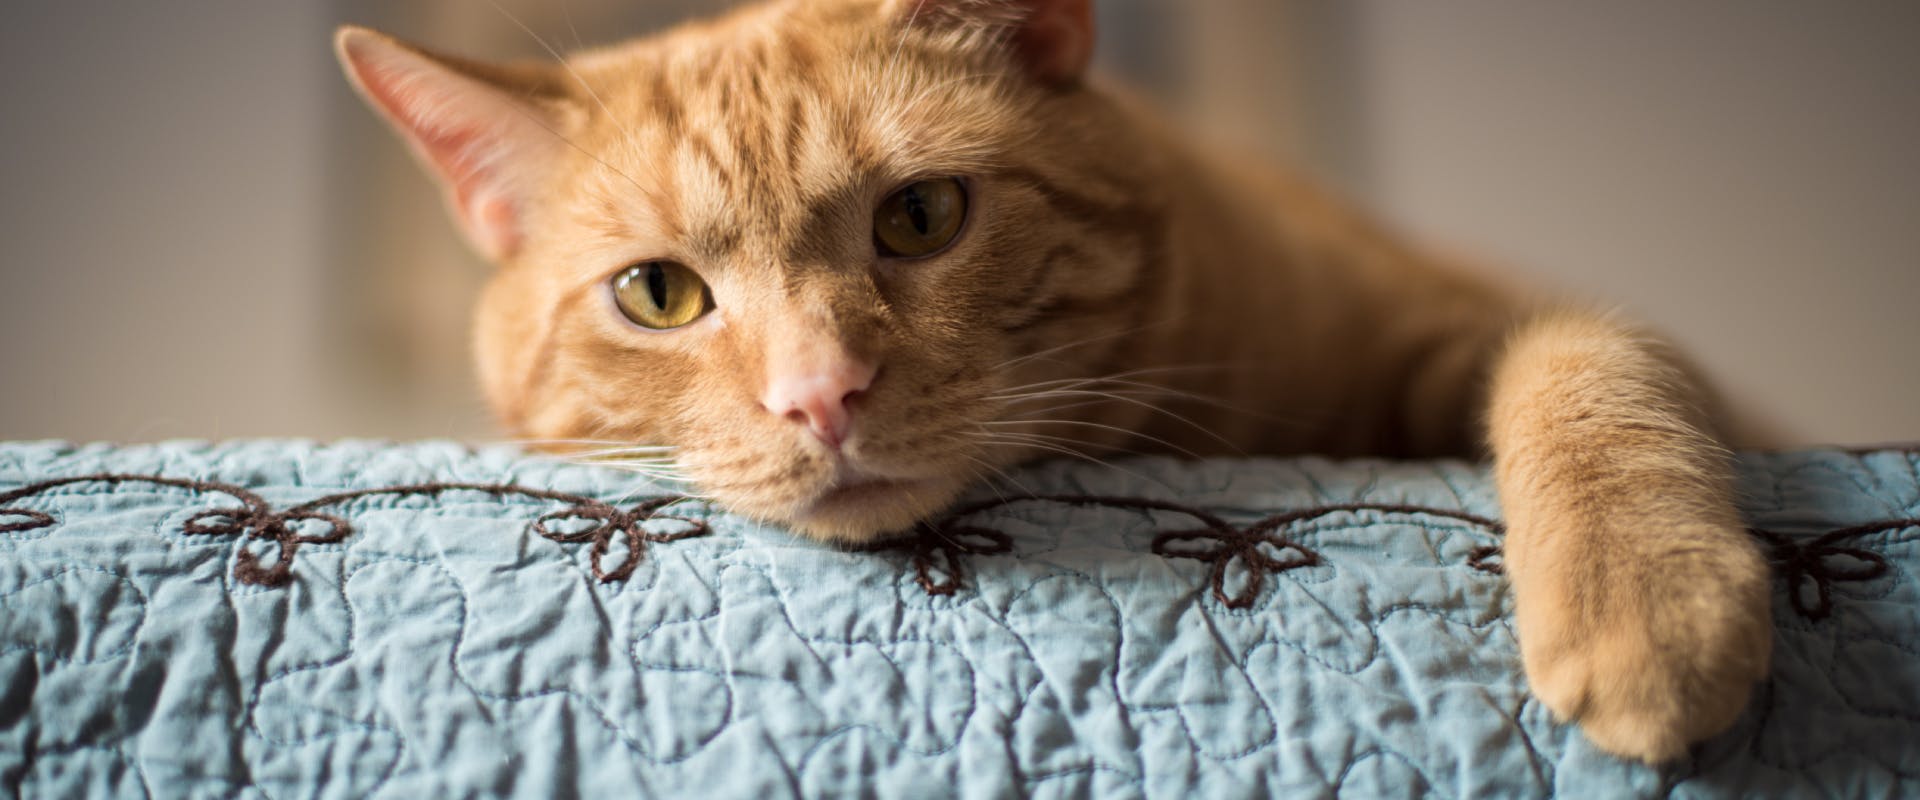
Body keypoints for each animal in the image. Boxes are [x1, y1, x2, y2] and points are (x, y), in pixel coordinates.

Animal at [337, 0, 1774, 759]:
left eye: (920, 217)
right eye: (658, 294)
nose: (819, 393)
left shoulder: (1499, 319)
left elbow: (1587, 370)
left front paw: (1647, 601)